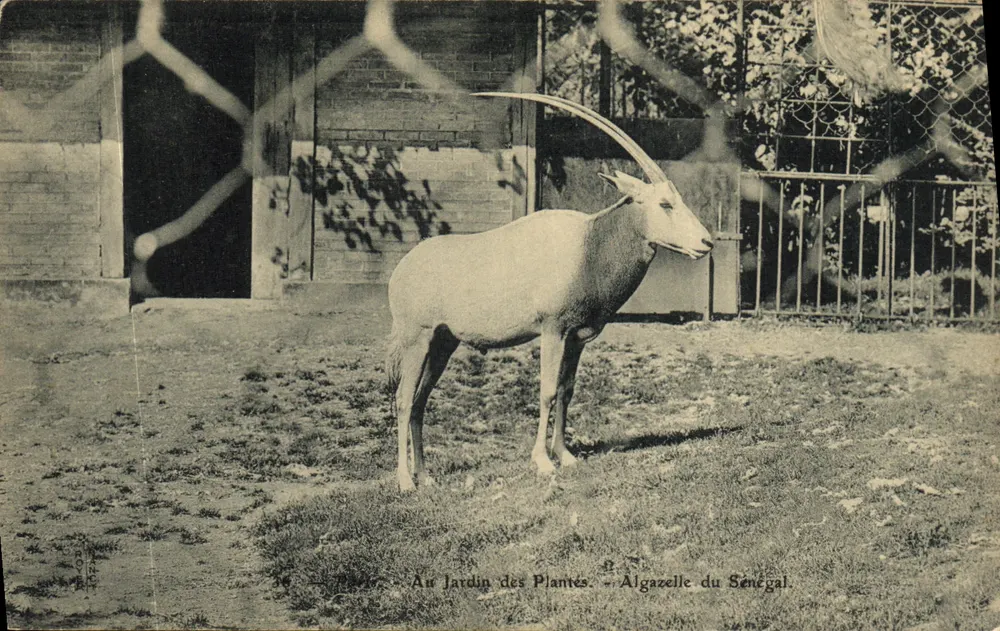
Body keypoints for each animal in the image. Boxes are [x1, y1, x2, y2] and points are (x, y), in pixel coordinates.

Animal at [386, 92, 713, 492]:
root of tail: (402, 270)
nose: (706, 242)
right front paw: (543, 461)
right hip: (417, 339)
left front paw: (566, 455)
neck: (590, 244)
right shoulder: (552, 330)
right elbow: (547, 390)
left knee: (419, 400)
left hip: (442, 343)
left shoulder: (576, 338)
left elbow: (566, 390)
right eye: (665, 204)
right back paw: (405, 481)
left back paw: (426, 476)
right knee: (404, 399)